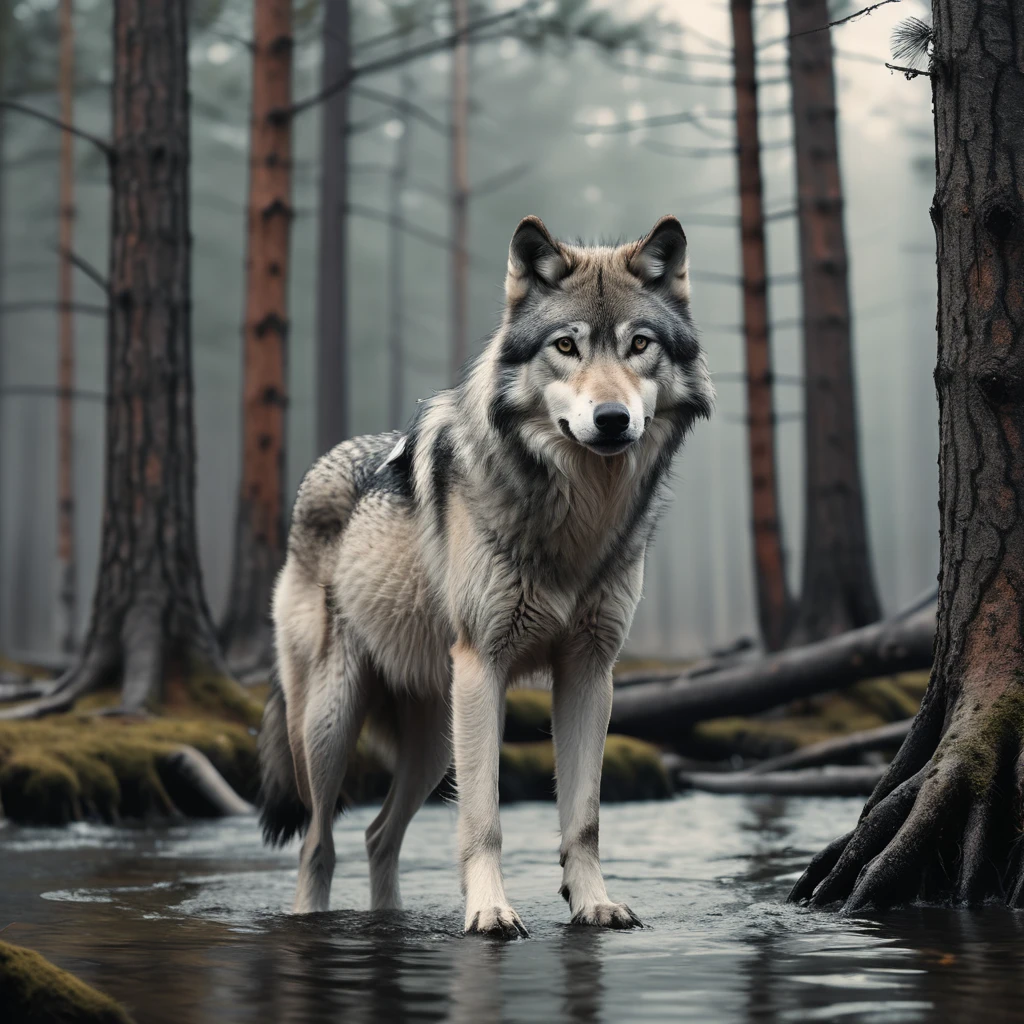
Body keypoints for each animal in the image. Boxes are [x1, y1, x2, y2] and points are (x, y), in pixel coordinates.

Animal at [258, 214, 713, 937]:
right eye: (566, 346)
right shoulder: (484, 667)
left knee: (378, 835)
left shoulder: (591, 671)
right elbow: (484, 819)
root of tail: (318, 470)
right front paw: (490, 912)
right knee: (318, 842)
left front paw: (593, 903)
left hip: (433, 738)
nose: (612, 419)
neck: (576, 519)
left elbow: (583, 818)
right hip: (334, 723)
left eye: (639, 344)